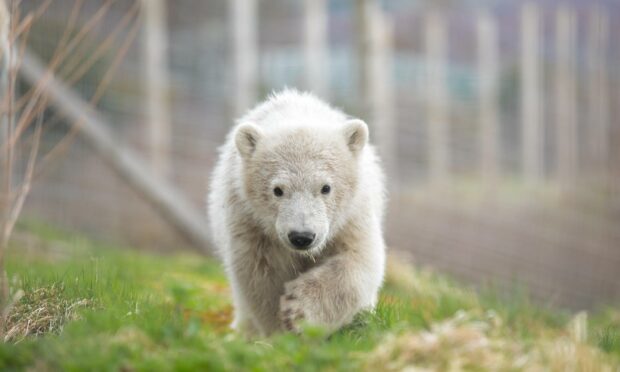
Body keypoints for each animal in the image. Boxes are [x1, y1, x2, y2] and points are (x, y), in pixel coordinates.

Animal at [206, 89, 386, 338]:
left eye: (326, 188)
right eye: (277, 190)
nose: (302, 237)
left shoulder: (353, 215)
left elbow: (358, 261)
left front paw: (299, 312)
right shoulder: (250, 222)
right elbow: (261, 275)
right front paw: (280, 331)